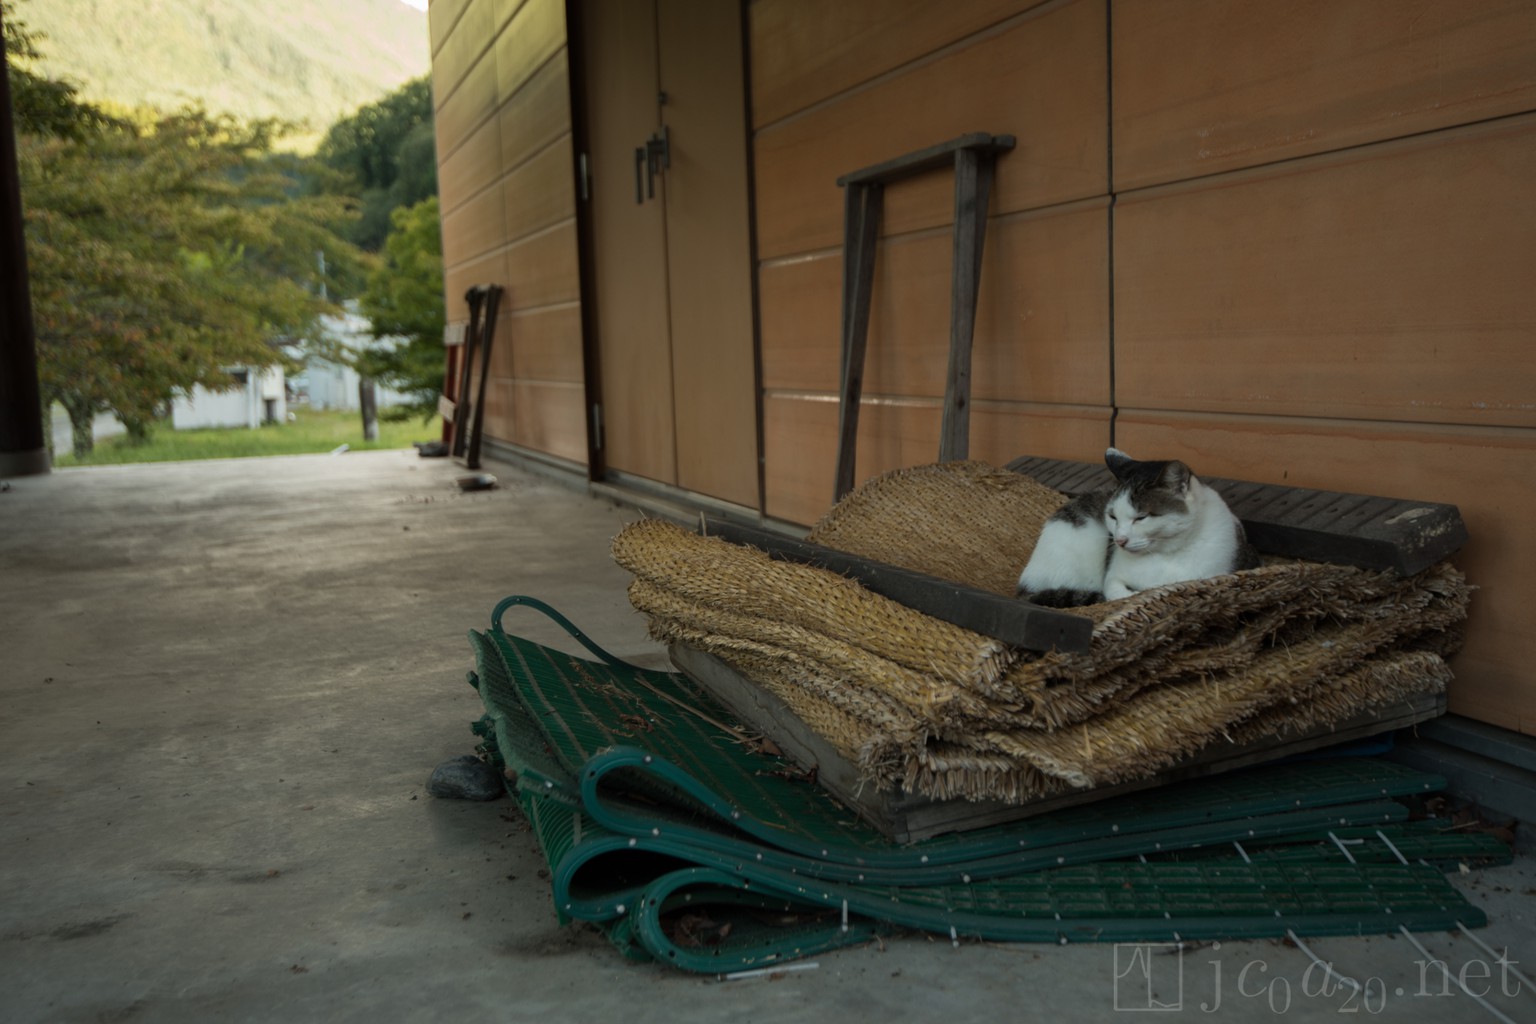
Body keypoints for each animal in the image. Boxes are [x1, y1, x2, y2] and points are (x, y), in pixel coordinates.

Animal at [1016, 448, 1260, 607]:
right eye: (1112, 516)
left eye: (1141, 517)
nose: (1119, 540)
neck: (1168, 554)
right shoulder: (1112, 578)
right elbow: (1121, 594)